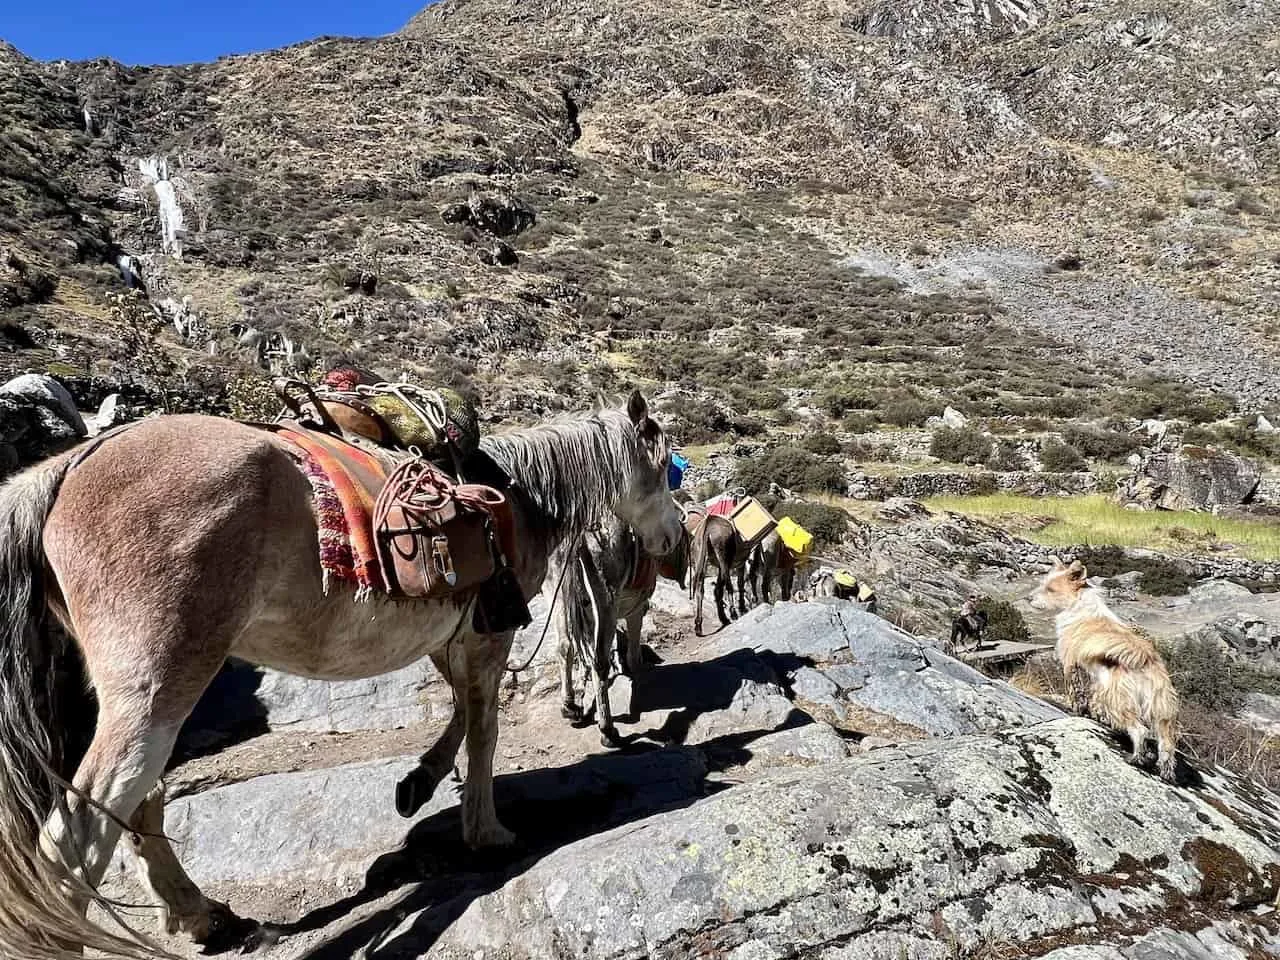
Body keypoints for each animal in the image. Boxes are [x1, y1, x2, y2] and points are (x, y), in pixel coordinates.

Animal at [0, 391, 680, 960]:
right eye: (665, 465)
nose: (673, 536)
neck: (514, 499)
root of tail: (68, 467)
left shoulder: (450, 639)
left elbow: (461, 712)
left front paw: (422, 781)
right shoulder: (489, 635)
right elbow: (485, 728)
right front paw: (485, 830)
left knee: (142, 804)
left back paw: (205, 915)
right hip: (157, 688)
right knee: (76, 839)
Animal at [1029, 555, 1177, 783]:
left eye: (1050, 589)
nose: (1029, 598)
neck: (1079, 605)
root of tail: (1145, 660)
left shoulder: (1071, 664)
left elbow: (1075, 692)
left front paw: (1075, 710)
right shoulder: (1096, 680)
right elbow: (1090, 697)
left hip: (1118, 701)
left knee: (1139, 731)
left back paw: (1135, 758)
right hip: (1160, 712)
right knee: (1166, 744)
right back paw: (1166, 772)